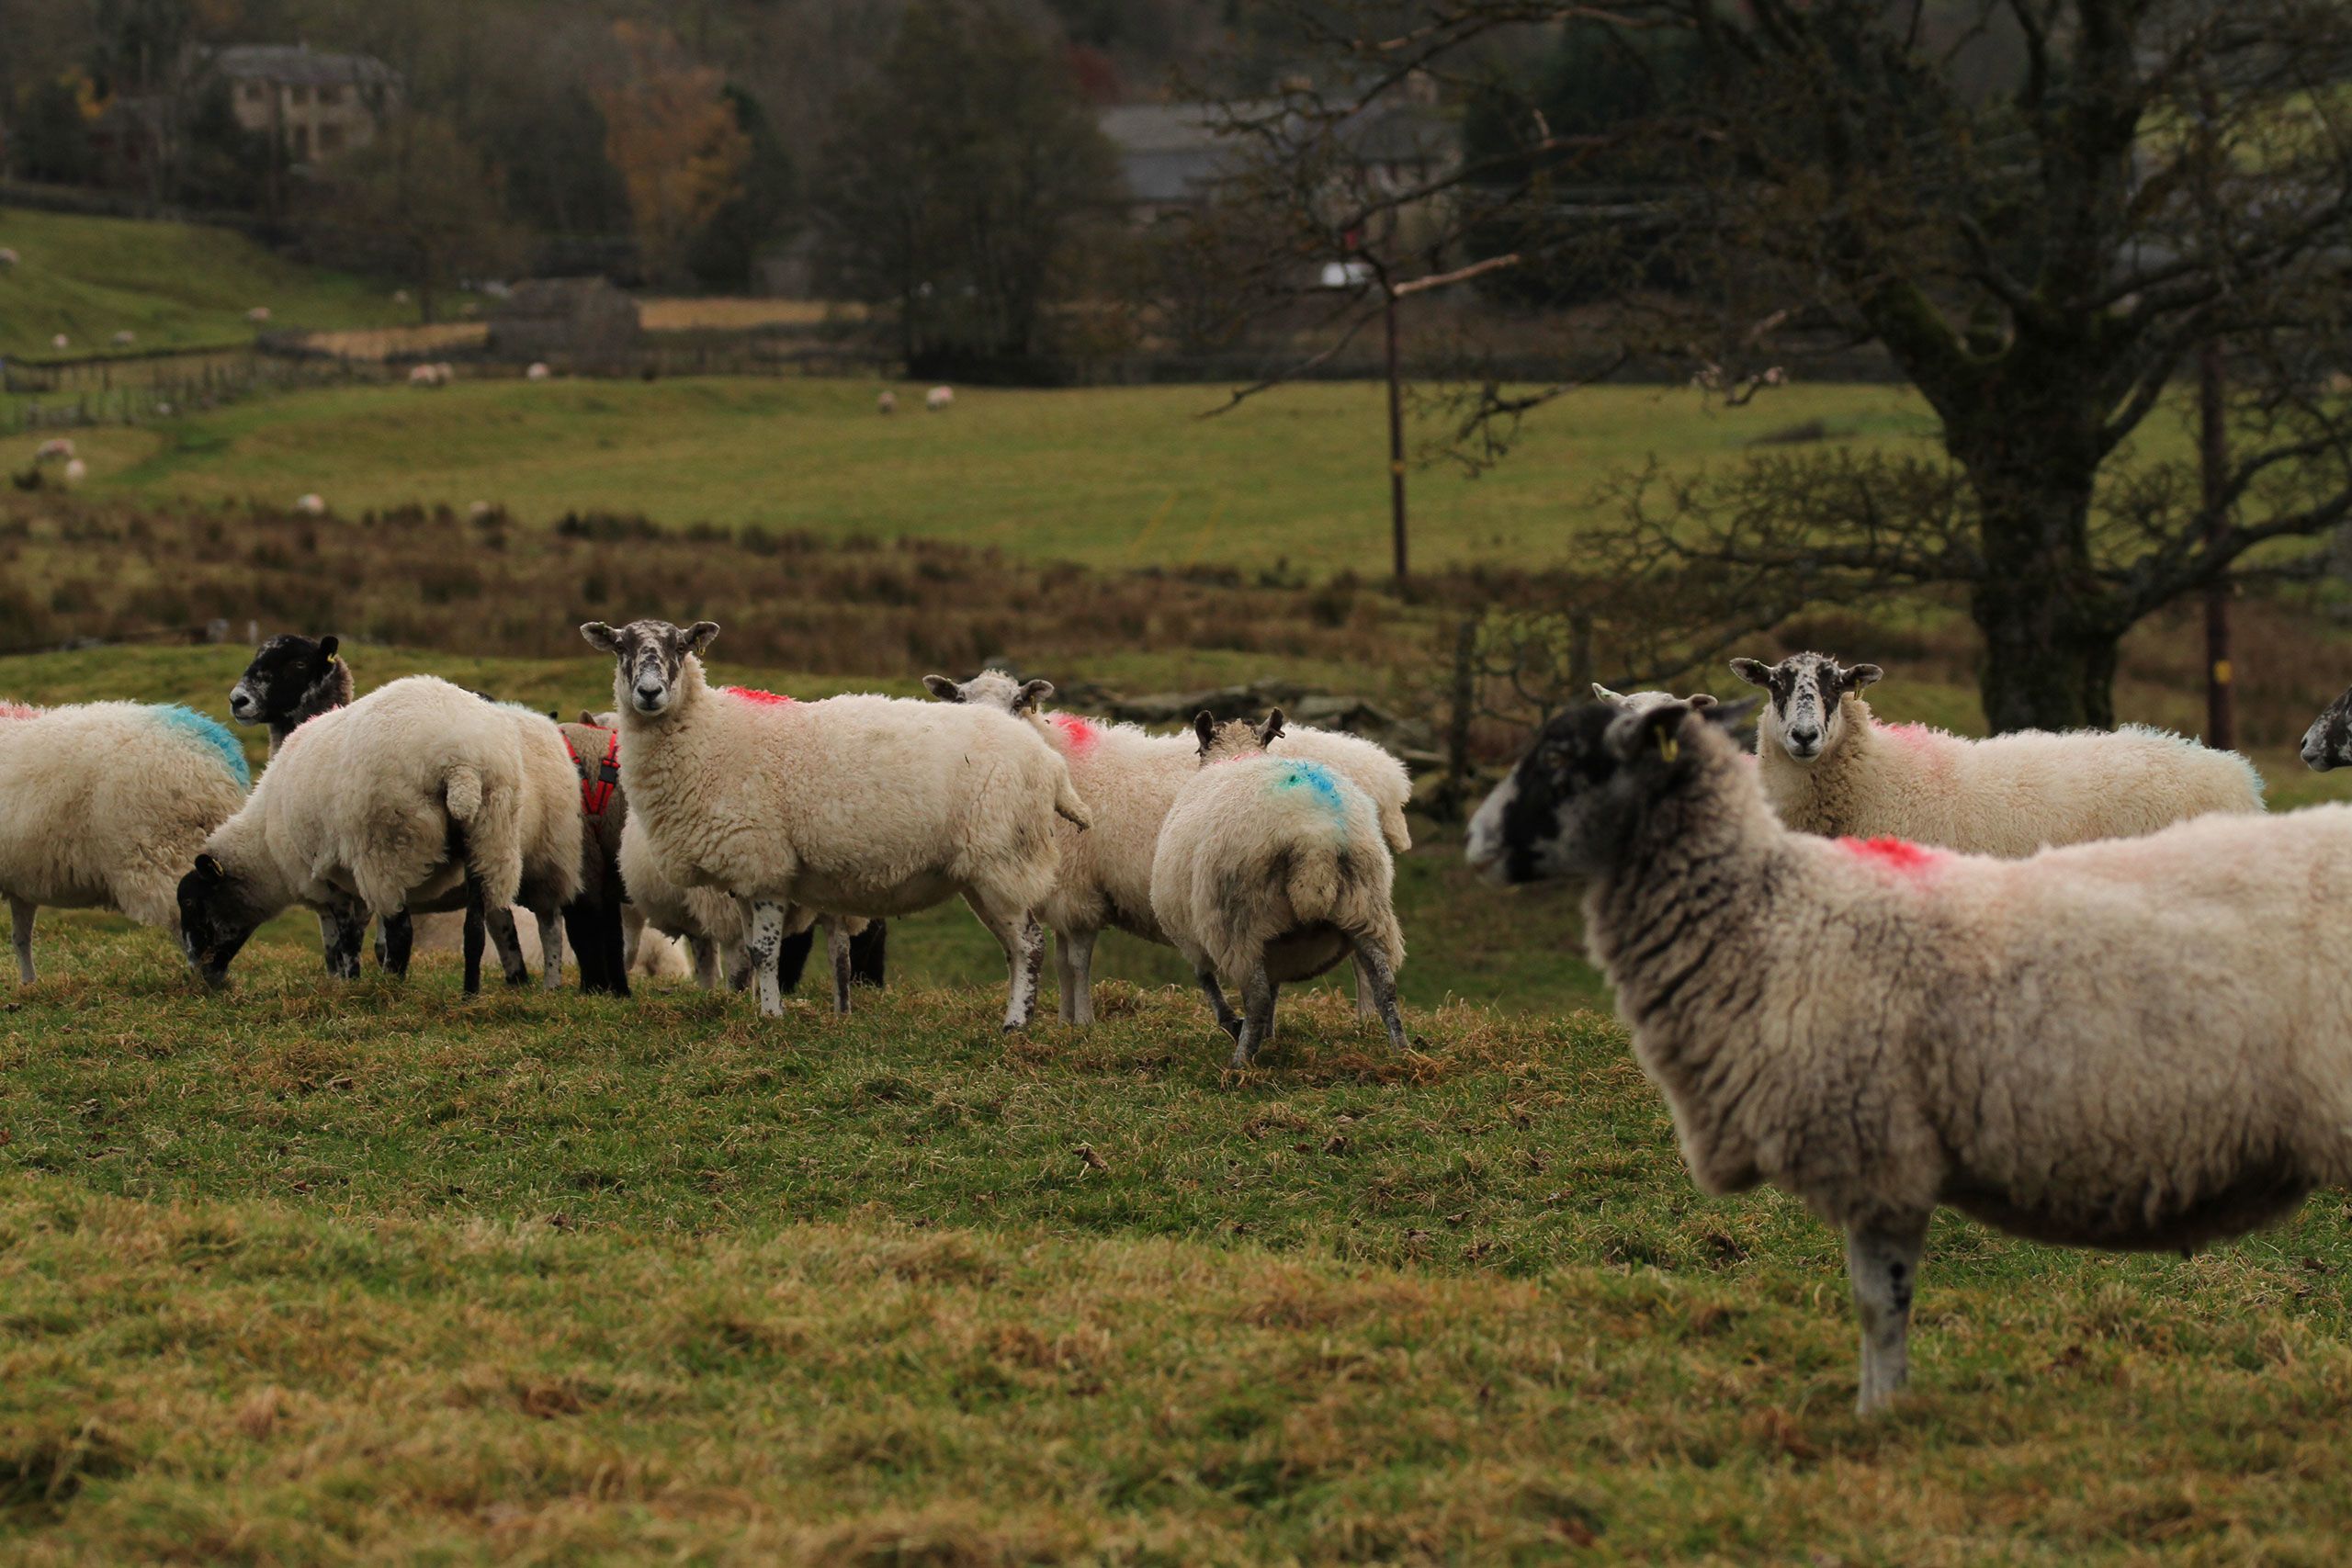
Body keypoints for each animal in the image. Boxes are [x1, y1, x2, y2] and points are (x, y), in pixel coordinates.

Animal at [177, 676, 582, 995]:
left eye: (193, 904)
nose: (199, 974)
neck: (265, 845)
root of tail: (459, 762)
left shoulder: (331, 884)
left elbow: (341, 943)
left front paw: (345, 983)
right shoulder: (352, 886)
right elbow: (362, 940)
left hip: (395, 847)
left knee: (543, 924)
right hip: (490, 837)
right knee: (479, 929)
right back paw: (473, 993)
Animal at [580, 619, 1086, 1026]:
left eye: (682, 646)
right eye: (621, 646)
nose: (649, 694)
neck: (709, 735)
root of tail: (1050, 763)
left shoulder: (766, 863)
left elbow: (764, 951)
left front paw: (772, 1017)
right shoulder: (744, 872)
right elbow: (750, 952)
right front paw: (756, 1010)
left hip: (1004, 858)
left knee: (1031, 944)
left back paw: (1016, 1025)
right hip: (984, 873)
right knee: (1014, 947)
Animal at [1150, 709, 1408, 1067]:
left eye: (1198, 750)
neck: (1236, 755)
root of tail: (1314, 835)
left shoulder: (1189, 931)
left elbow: (1207, 980)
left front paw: (1235, 1025)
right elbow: (1272, 988)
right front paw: (1268, 1036)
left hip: (1237, 921)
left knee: (1255, 997)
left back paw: (1240, 1064)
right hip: (1367, 908)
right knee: (1385, 985)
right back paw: (1404, 1053)